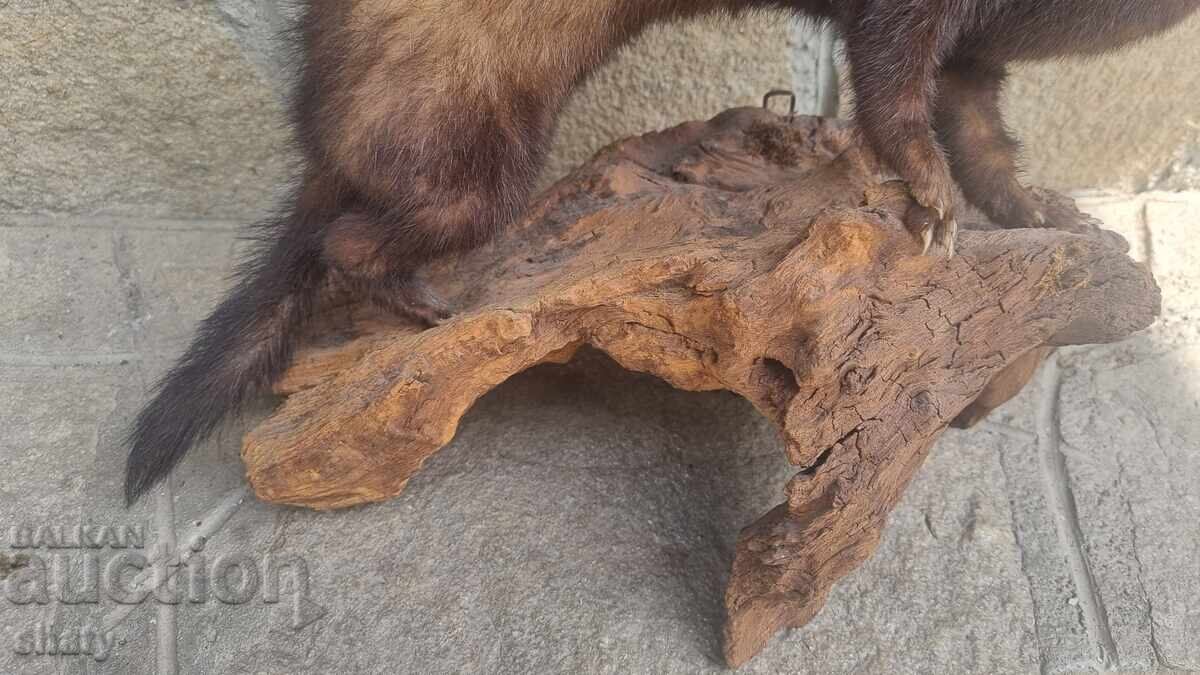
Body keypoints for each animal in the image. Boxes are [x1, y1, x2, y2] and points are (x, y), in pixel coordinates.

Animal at [124, 0, 1199, 503]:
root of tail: (319, 115)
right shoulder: (910, 20)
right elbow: (893, 90)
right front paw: (925, 191)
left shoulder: (978, 53)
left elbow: (983, 140)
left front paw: (1054, 211)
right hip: (468, 147)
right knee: (351, 234)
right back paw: (421, 296)